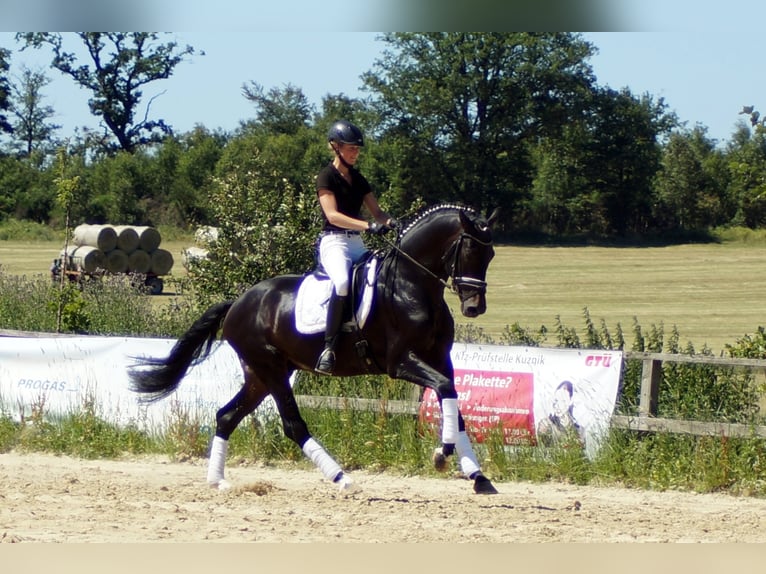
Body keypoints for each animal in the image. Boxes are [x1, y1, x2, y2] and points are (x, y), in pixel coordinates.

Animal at [130, 206, 504, 496]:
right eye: (470, 251)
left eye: (490, 255)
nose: (475, 308)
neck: (412, 285)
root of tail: (238, 302)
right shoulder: (400, 362)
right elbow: (443, 388)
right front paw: (442, 453)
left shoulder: (440, 359)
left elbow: (453, 399)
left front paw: (477, 475)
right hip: (270, 369)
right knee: (293, 425)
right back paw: (341, 478)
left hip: (262, 374)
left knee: (226, 416)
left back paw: (218, 481)